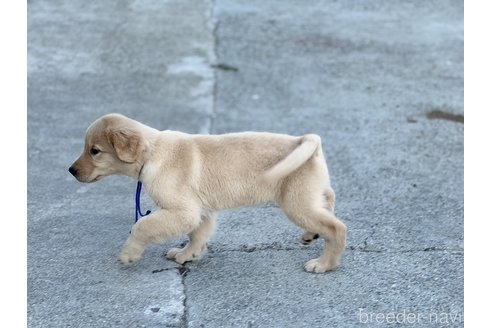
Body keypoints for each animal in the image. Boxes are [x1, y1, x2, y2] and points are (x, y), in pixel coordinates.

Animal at [68, 114, 346, 272]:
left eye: (94, 151)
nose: (71, 170)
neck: (153, 153)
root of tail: (306, 139)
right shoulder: (201, 210)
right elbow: (198, 235)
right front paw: (186, 255)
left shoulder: (184, 211)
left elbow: (142, 226)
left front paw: (129, 254)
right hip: (306, 194)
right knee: (328, 199)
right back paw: (311, 235)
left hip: (296, 202)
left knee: (336, 227)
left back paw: (324, 264)